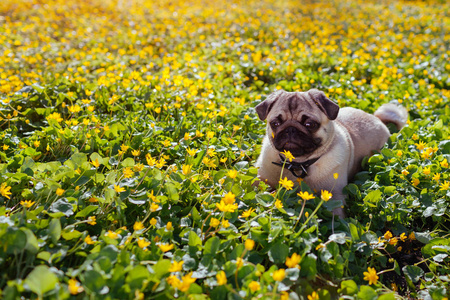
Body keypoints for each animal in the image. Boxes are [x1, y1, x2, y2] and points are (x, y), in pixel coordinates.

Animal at [256, 89, 408, 218]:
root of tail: (377, 119)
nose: (290, 129)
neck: (298, 164)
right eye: (275, 123)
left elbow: (337, 216)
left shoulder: (334, 195)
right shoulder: (261, 178)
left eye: (310, 124)